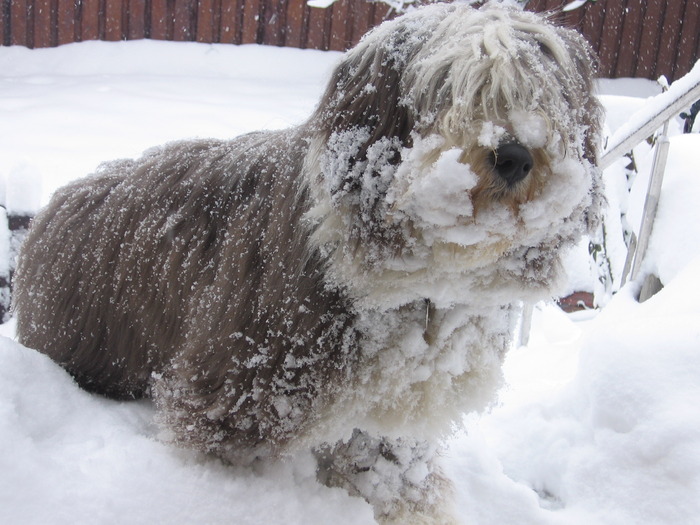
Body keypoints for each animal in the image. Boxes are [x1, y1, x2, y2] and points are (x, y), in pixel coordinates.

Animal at [12, 3, 600, 520]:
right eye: (451, 88)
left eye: (540, 93)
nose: (515, 155)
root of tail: (52, 208)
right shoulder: (241, 384)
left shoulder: (388, 412)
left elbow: (393, 475)